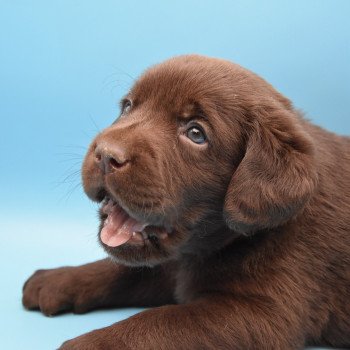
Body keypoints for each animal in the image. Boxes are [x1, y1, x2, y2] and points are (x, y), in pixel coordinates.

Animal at [22, 55, 350, 350]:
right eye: (127, 106)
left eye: (196, 133)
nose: (105, 155)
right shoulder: (173, 263)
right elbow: (123, 271)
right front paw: (58, 279)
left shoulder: (263, 314)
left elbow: (157, 323)